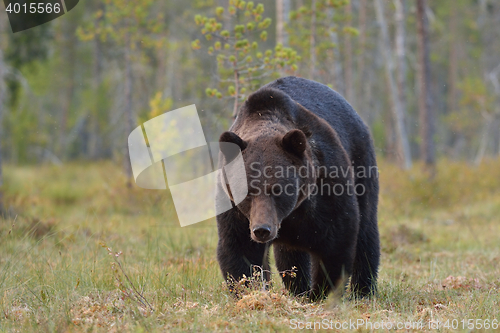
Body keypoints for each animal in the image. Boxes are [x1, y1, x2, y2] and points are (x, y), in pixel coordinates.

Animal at [216, 76, 378, 298]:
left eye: (277, 189)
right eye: (248, 192)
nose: (262, 230)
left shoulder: (325, 184)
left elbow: (335, 240)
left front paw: (321, 292)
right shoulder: (234, 208)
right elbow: (240, 249)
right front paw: (251, 291)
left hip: (360, 159)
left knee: (366, 228)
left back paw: (362, 290)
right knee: (290, 255)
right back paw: (297, 288)